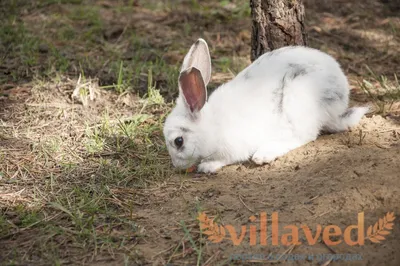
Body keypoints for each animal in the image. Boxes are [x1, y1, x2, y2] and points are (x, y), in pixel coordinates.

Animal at [162, 38, 368, 174]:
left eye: (178, 141)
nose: (177, 166)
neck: (212, 126)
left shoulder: (234, 147)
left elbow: (226, 159)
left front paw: (207, 166)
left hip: (298, 100)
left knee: (304, 136)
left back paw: (264, 154)